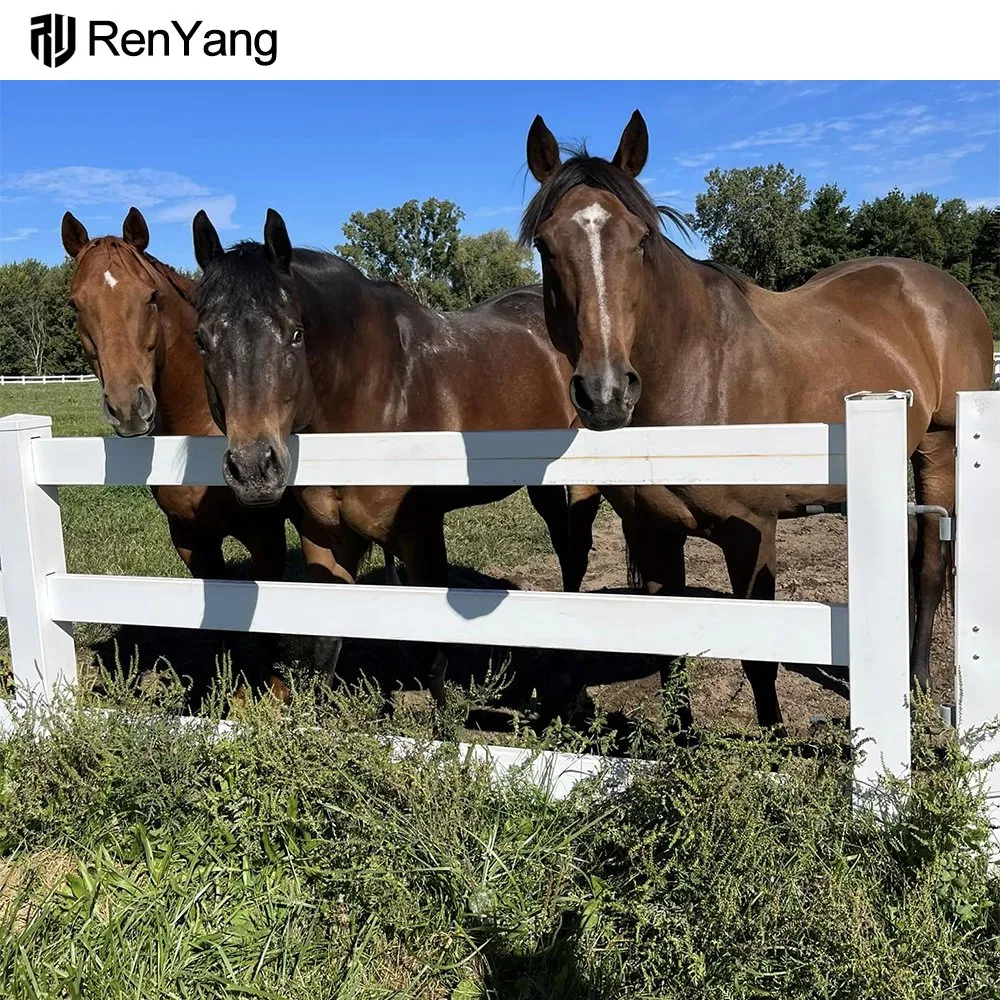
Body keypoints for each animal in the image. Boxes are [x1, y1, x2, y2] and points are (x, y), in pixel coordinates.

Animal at [60, 207, 300, 701]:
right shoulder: (192, 539)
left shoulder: (265, 533)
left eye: (151, 297)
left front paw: (273, 692)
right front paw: (231, 689)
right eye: (75, 305)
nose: (128, 408)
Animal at [189, 207, 603, 706]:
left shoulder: (420, 533)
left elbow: (433, 651)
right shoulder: (325, 537)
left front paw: (444, 720)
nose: (253, 470)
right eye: (202, 340)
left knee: (572, 551)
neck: (376, 399)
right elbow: (327, 644)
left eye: (296, 334)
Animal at [518, 109, 994, 729]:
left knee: (931, 570)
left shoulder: (752, 532)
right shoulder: (653, 534)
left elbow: (760, 658)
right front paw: (682, 747)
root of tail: (946, 291)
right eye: (546, 245)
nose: (605, 393)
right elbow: (670, 657)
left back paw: (916, 686)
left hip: (939, 446)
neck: (698, 374)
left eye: (640, 239)